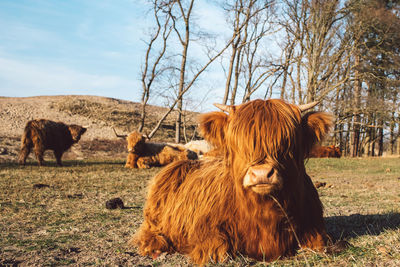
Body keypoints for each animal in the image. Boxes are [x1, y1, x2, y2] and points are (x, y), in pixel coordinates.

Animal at [131, 100, 334, 266]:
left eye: (287, 142)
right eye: (239, 143)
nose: (261, 174)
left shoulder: (315, 228)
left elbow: (318, 243)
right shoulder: (206, 231)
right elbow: (217, 249)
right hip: (153, 216)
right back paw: (155, 244)